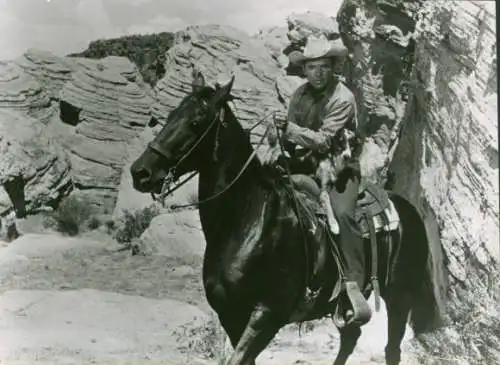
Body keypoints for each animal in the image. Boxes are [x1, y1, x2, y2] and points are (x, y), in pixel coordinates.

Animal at [129, 74, 442, 364]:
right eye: (171, 115)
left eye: (196, 122)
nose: (140, 172)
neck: (247, 221)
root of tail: (408, 209)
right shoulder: (230, 315)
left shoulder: (268, 313)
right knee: (351, 336)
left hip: (401, 296)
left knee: (392, 349)